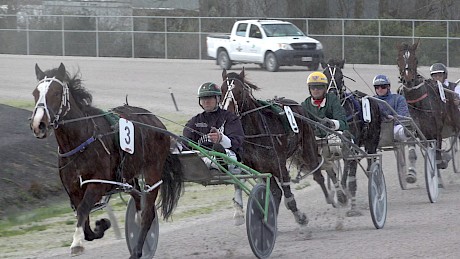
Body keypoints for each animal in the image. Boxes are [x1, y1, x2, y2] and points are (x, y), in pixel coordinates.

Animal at [29, 63, 185, 259]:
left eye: (56, 93)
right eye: (35, 93)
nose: (38, 125)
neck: (80, 142)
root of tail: (157, 121)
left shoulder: (97, 184)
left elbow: (83, 210)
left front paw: (76, 244)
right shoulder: (73, 190)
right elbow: (85, 224)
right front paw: (101, 225)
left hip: (152, 172)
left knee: (148, 213)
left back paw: (137, 251)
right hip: (128, 177)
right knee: (139, 202)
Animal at [219, 68, 338, 225]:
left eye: (239, 91)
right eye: (221, 90)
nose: (228, 113)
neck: (257, 133)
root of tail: (297, 106)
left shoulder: (279, 166)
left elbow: (286, 193)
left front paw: (300, 216)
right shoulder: (256, 169)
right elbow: (264, 190)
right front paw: (243, 214)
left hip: (307, 147)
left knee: (318, 173)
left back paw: (335, 197)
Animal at [322, 58, 382, 217]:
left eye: (341, 77)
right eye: (325, 75)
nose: (332, 93)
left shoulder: (351, 146)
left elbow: (349, 170)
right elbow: (333, 172)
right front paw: (341, 195)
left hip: (372, 141)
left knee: (369, 160)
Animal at [396, 41, 460, 170]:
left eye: (415, 59)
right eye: (398, 59)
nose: (408, 81)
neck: (416, 102)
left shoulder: (435, 129)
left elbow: (437, 153)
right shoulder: (413, 130)